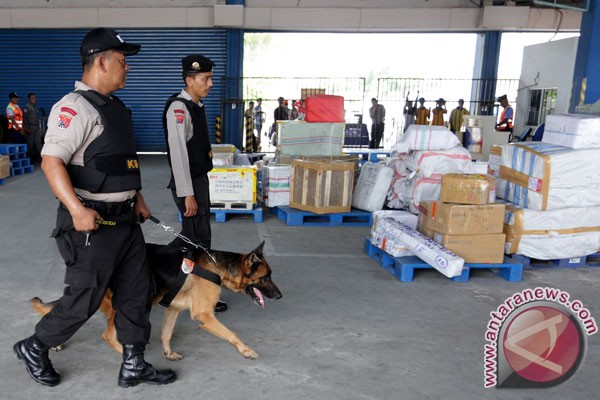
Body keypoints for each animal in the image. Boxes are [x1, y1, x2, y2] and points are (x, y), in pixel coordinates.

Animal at [13, 27, 176, 388]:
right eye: (120, 59)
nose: (128, 68)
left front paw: (137, 369)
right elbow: (54, 159)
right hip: (92, 267)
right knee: (74, 305)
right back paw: (34, 357)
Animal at [29, 241, 280, 362]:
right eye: (265, 278)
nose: (280, 296)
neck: (217, 266)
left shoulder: (173, 309)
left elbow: (166, 334)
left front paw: (168, 353)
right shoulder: (205, 316)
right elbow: (232, 334)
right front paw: (246, 351)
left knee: (60, 313)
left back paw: (51, 344)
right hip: (120, 304)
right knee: (106, 334)